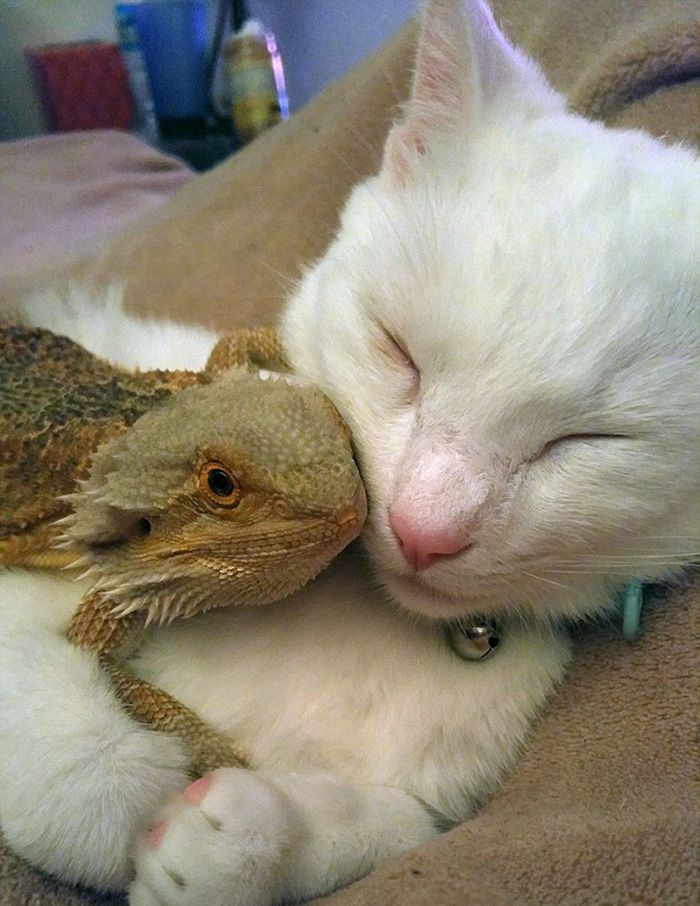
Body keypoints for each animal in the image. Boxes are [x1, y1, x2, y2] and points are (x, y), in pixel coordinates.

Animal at [1, 1, 700, 904]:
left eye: (587, 440)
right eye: (396, 351)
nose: (421, 528)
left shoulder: (438, 798)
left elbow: (398, 832)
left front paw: (237, 836)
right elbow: (51, 723)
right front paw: (132, 788)